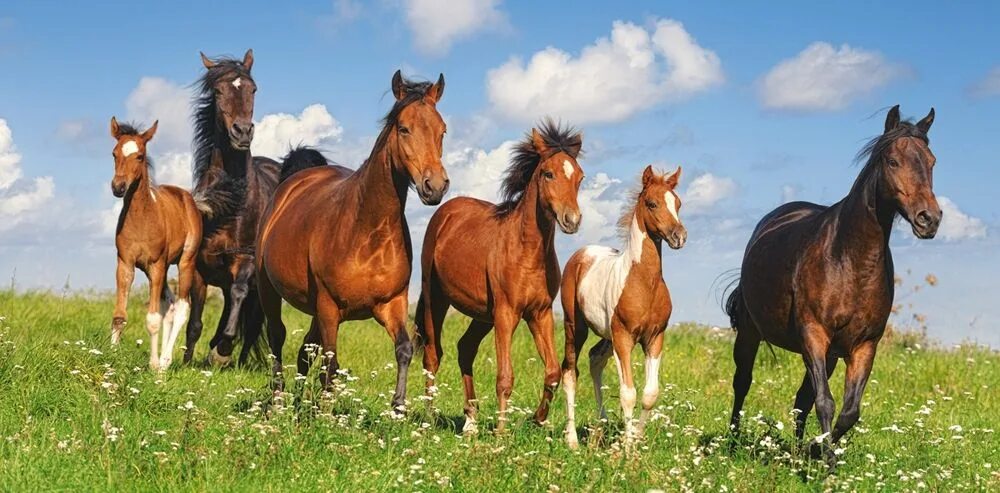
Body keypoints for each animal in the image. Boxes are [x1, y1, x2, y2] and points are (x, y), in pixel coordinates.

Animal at [108, 116, 202, 368]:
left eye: (140, 156)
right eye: (114, 153)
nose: (118, 187)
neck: (143, 218)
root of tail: (187, 197)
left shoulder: (157, 264)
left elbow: (152, 319)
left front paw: (154, 366)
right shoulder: (125, 263)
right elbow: (119, 316)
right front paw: (109, 360)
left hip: (184, 262)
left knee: (181, 307)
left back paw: (165, 362)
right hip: (157, 270)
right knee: (169, 305)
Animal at [256, 68, 448, 408]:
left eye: (442, 131)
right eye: (404, 128)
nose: (434, 186)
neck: (369, 235)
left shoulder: (391, 304)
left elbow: (403, 349)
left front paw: (398, 406)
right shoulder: (329, 306)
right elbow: (331, 361)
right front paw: (327, 411)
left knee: (306, 350)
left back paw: (300, 402)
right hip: (271, 289)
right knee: (278, 337)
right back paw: (280, 402)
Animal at [416, 121, 584, 432]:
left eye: (579, 177)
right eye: (548, 173)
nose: (572, 220)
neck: (527, 252)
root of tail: (445, 212)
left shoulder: (539, 313)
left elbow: (553, 371)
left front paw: (537, 419)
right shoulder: (507, 313)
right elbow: (505, 377)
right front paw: (502, 433)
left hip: (483, 315)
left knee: (465, 348)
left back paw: (471, 421)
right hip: (437, 299)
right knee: (432, 355)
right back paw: (429, 419)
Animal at [560, 166, 692, 446]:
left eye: (677, 203)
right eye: (652, 203)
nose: (679, 236)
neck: (644, 283)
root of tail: (582, 253)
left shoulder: (654, 338)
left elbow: (650, 394)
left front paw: (635, 439)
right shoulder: (624, 338)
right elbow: (628, 393)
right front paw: (627, 447)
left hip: (607, 336)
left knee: (595, 359)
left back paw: (601, 426)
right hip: (575, 327)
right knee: (570, 372)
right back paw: (572, 440)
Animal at [724, 104, 940, 462]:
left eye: (932, 161)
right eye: (892, 161)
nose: (929, 219)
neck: (849, 260)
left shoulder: (863, 346)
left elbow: (848, 411)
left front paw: (818, 450)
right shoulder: (814, 334)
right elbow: (826, 402)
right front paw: (826, 462)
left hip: (830, 355)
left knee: (801, 400)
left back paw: (798, 451)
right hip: (752, 332)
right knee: (743, 381)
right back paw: (733, 441)